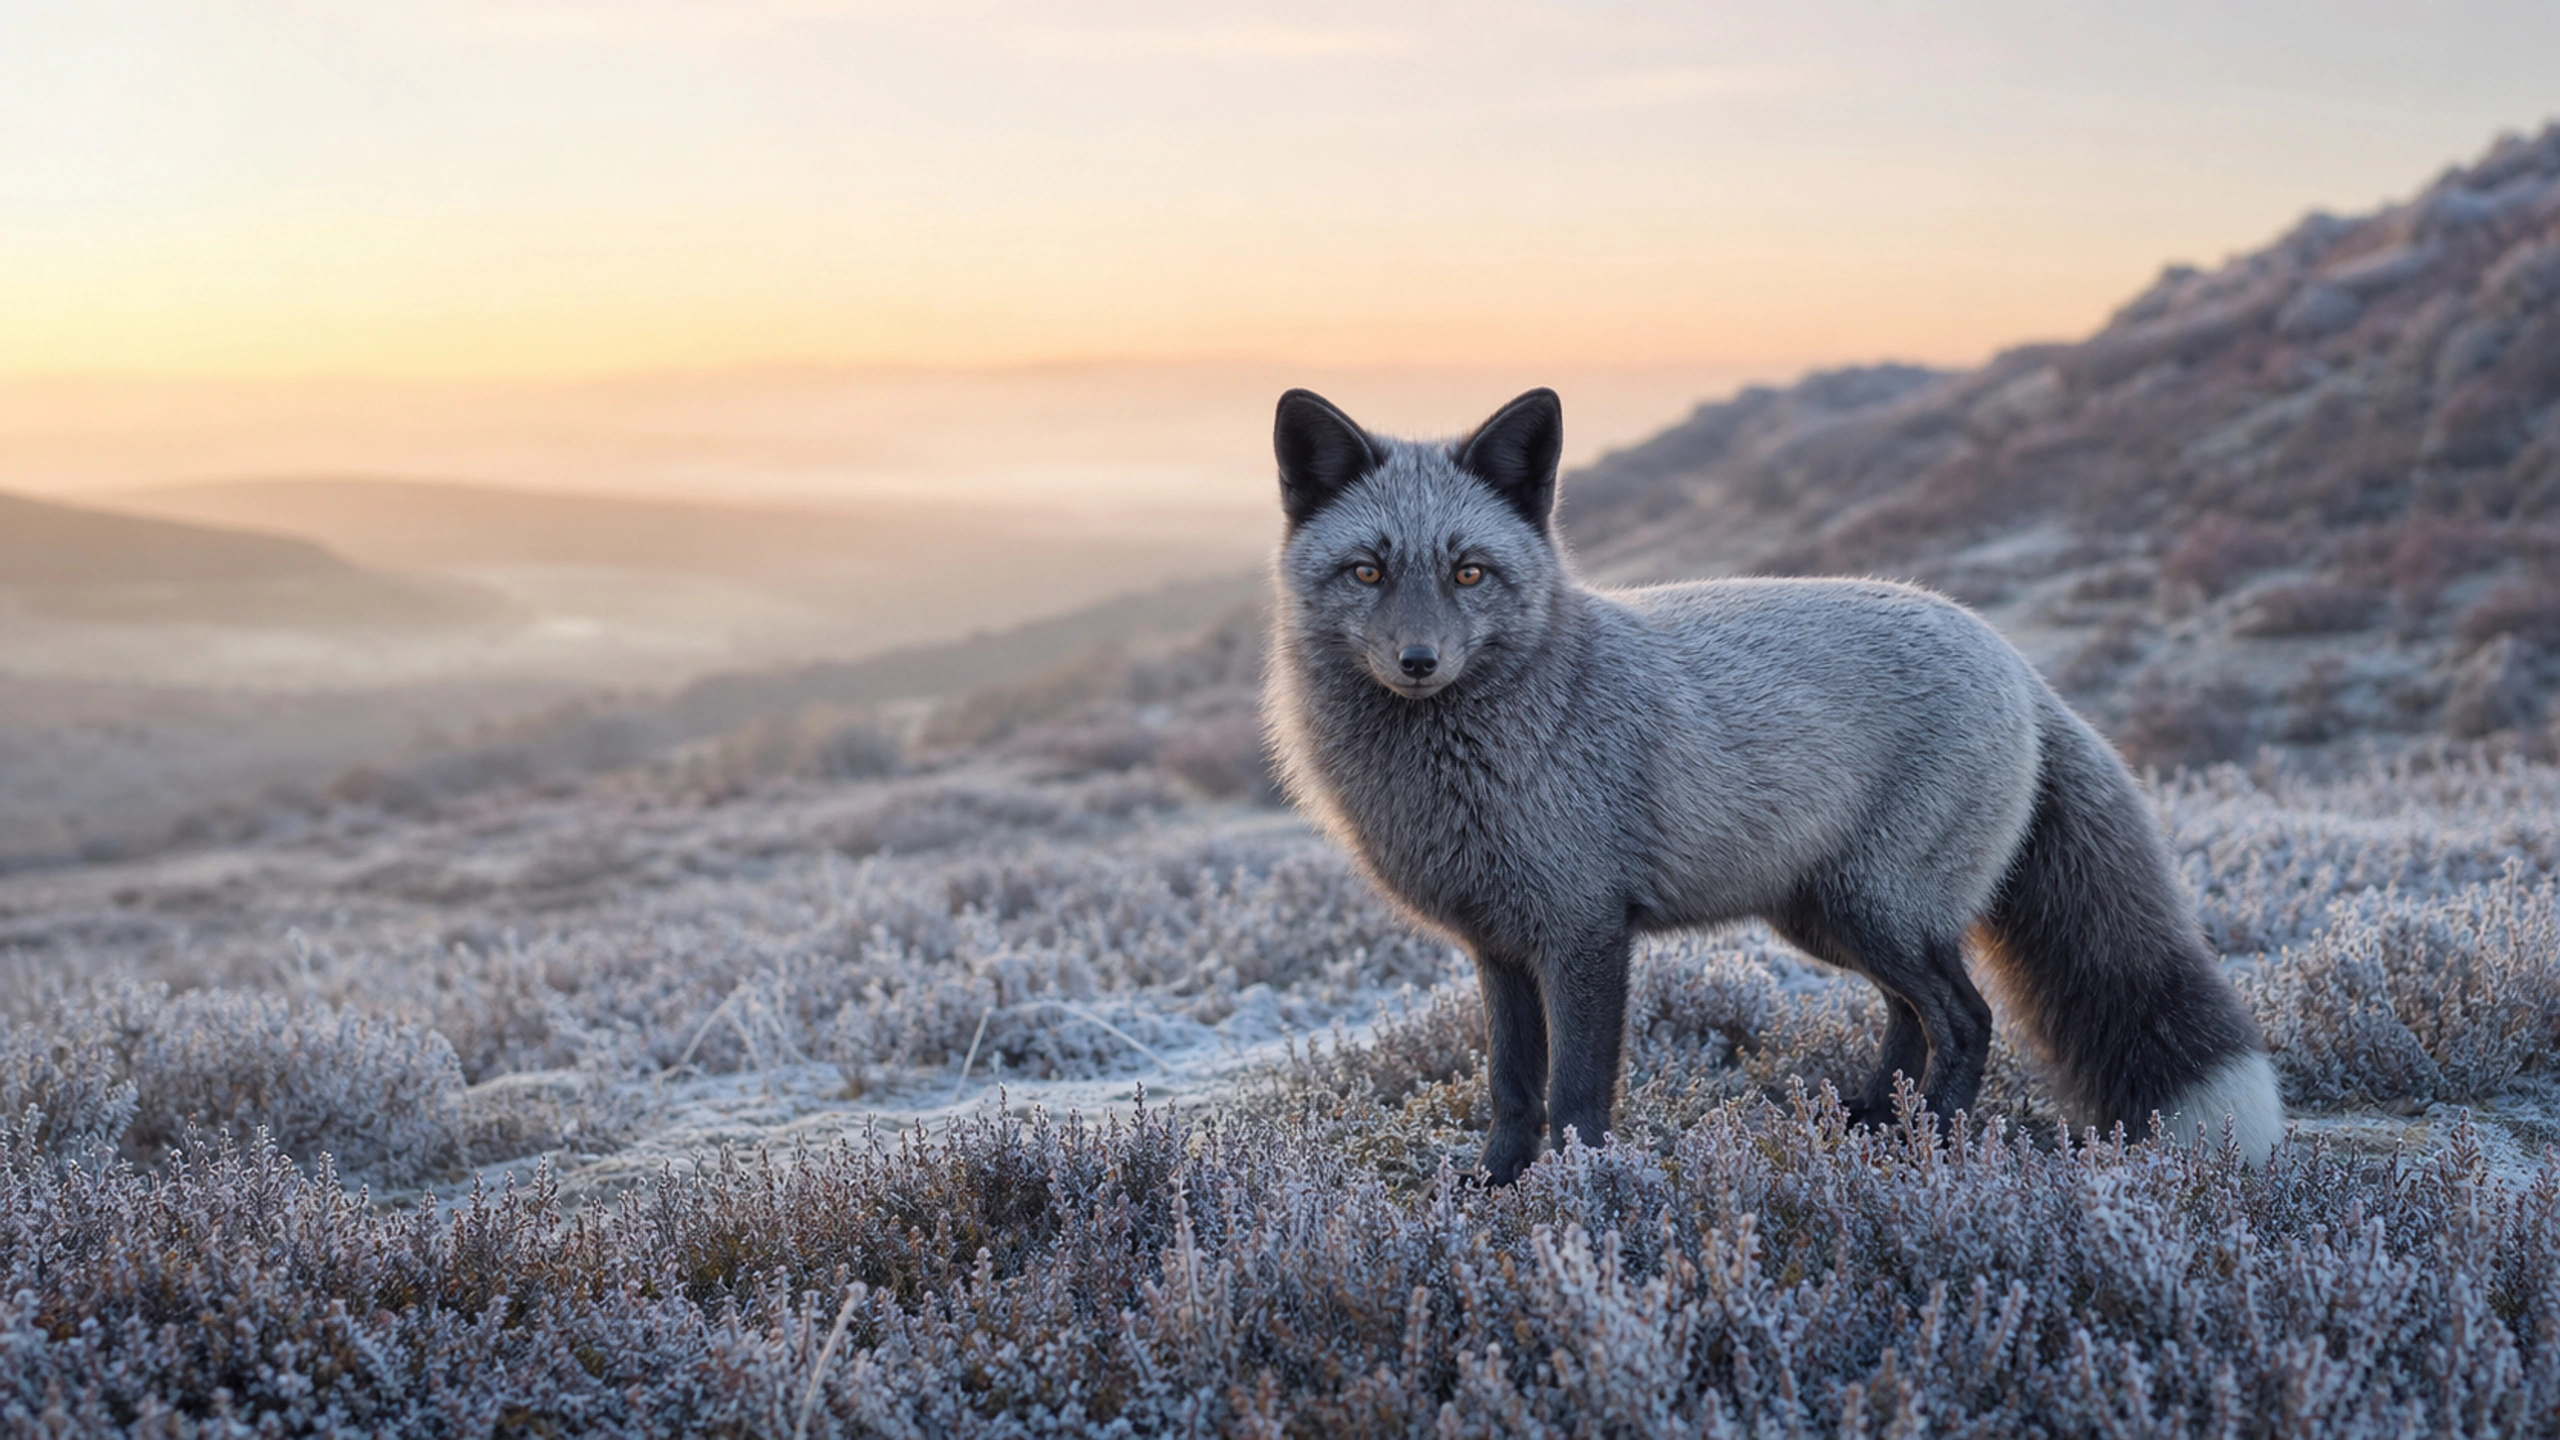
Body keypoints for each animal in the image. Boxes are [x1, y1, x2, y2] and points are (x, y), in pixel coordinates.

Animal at [1264, 386, 2283, 1185]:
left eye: (1470, 572)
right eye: (1368, 570)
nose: (1418, 662)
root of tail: (2008, 655)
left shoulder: (1584, 931)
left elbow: (1577, 1091)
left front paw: (1583, 1188)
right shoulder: (1499, 946)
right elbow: (1513, 1087)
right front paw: (1496, 1187)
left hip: (1878, 908)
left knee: (1965, 1017)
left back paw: (1933, 1143)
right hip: (1829, 918)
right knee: (1910, 1015)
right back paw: (1875, 1117)